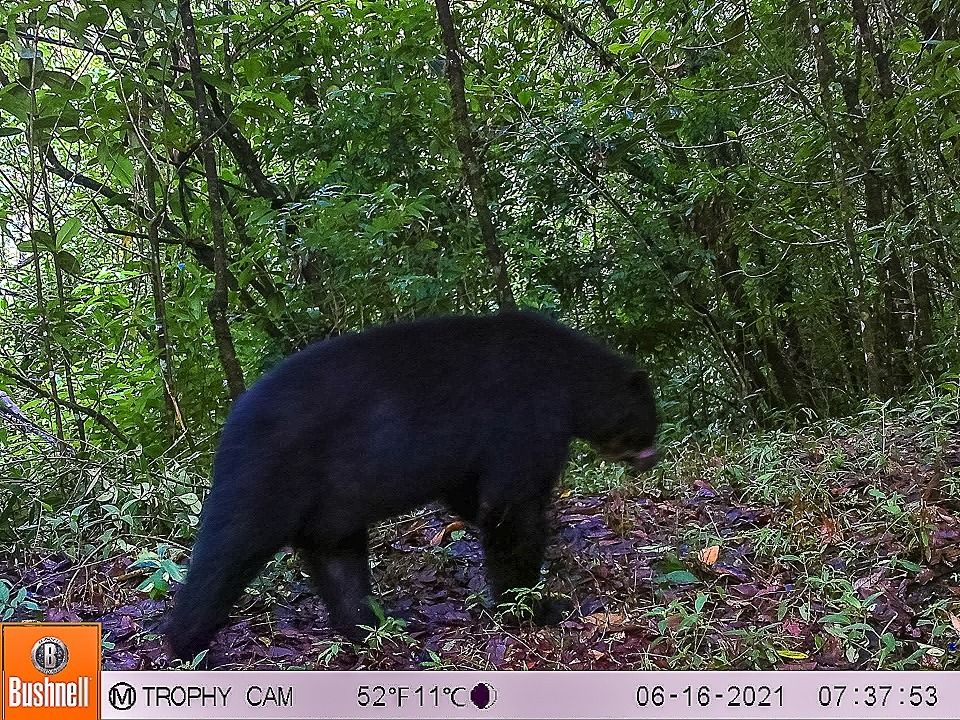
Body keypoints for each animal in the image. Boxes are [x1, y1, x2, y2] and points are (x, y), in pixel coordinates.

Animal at [165, 311, 658, 659]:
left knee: (338, 562)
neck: (566, 374)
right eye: (649, 418)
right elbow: (510, 510)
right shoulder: (524, 417)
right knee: (226, 553)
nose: (653, 454)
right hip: (269, 475)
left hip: (332, 505)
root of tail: (231, 424)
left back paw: (375, 628)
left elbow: (472, 496)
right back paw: (189, 646)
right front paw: (531, 607)